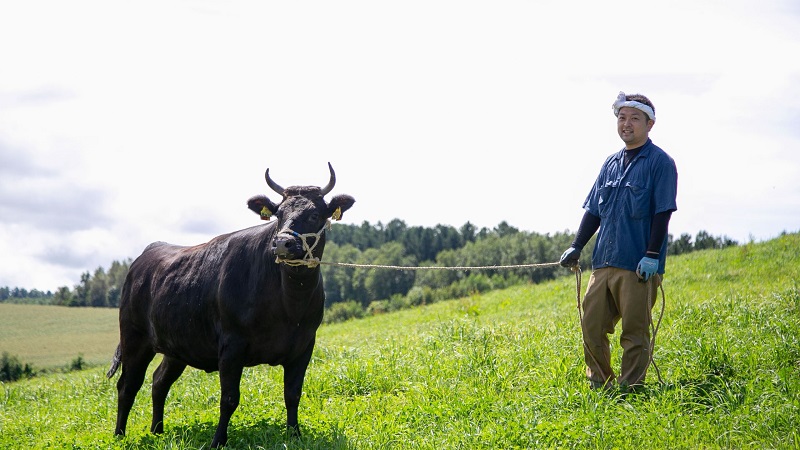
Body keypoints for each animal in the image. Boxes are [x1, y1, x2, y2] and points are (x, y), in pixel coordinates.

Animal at [107, 163, 356, 446]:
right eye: (278, 214)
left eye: (314, 214)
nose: (282, 242)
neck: (289, 305)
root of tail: (148, 252)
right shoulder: (231, 344)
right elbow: (228, 399)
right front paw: (218, 441)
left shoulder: (304, 345)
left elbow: (292, 395)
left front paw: (294, 435)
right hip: (134, 337)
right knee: (127, 385)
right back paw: (119, 436)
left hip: (176, 346)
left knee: (159, 382)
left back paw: (157, 430)